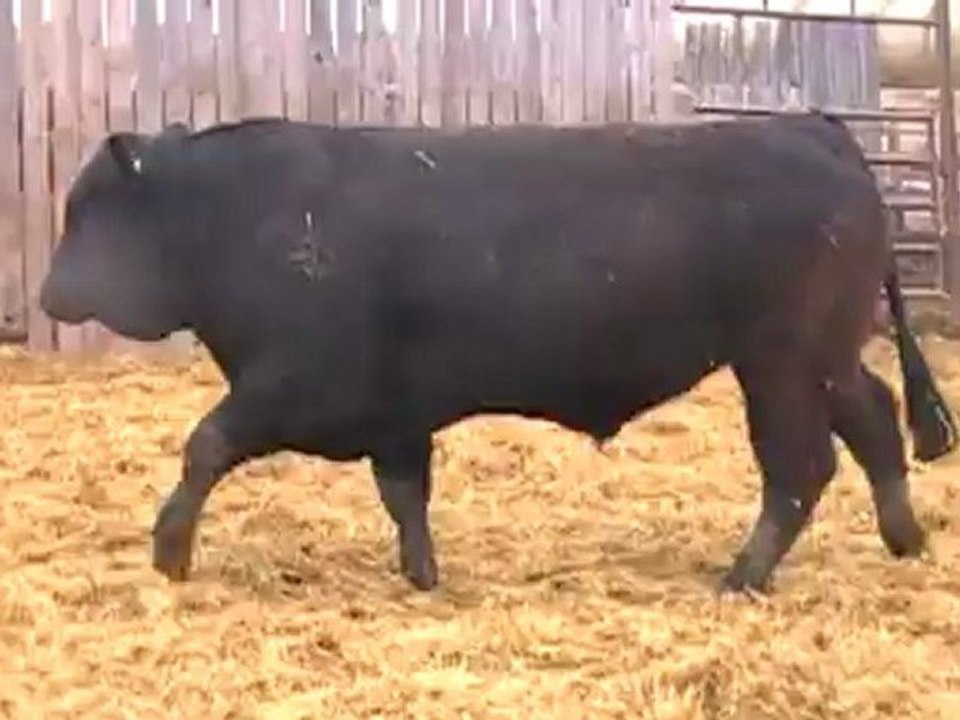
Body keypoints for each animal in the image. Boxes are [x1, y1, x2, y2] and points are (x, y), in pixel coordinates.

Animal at [39, 112, 957, 595]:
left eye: (89, 212)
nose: (49, 295)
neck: (255, 221)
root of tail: (811, 126)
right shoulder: (392, 414)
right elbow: (405, 495)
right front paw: (422, 576)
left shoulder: (290, 383)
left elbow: (205, 444)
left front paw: (169, 551)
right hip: (820, 357)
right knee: (874, 421)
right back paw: (904, 538)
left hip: (781, 363)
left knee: (800, 467)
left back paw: (743, 575)